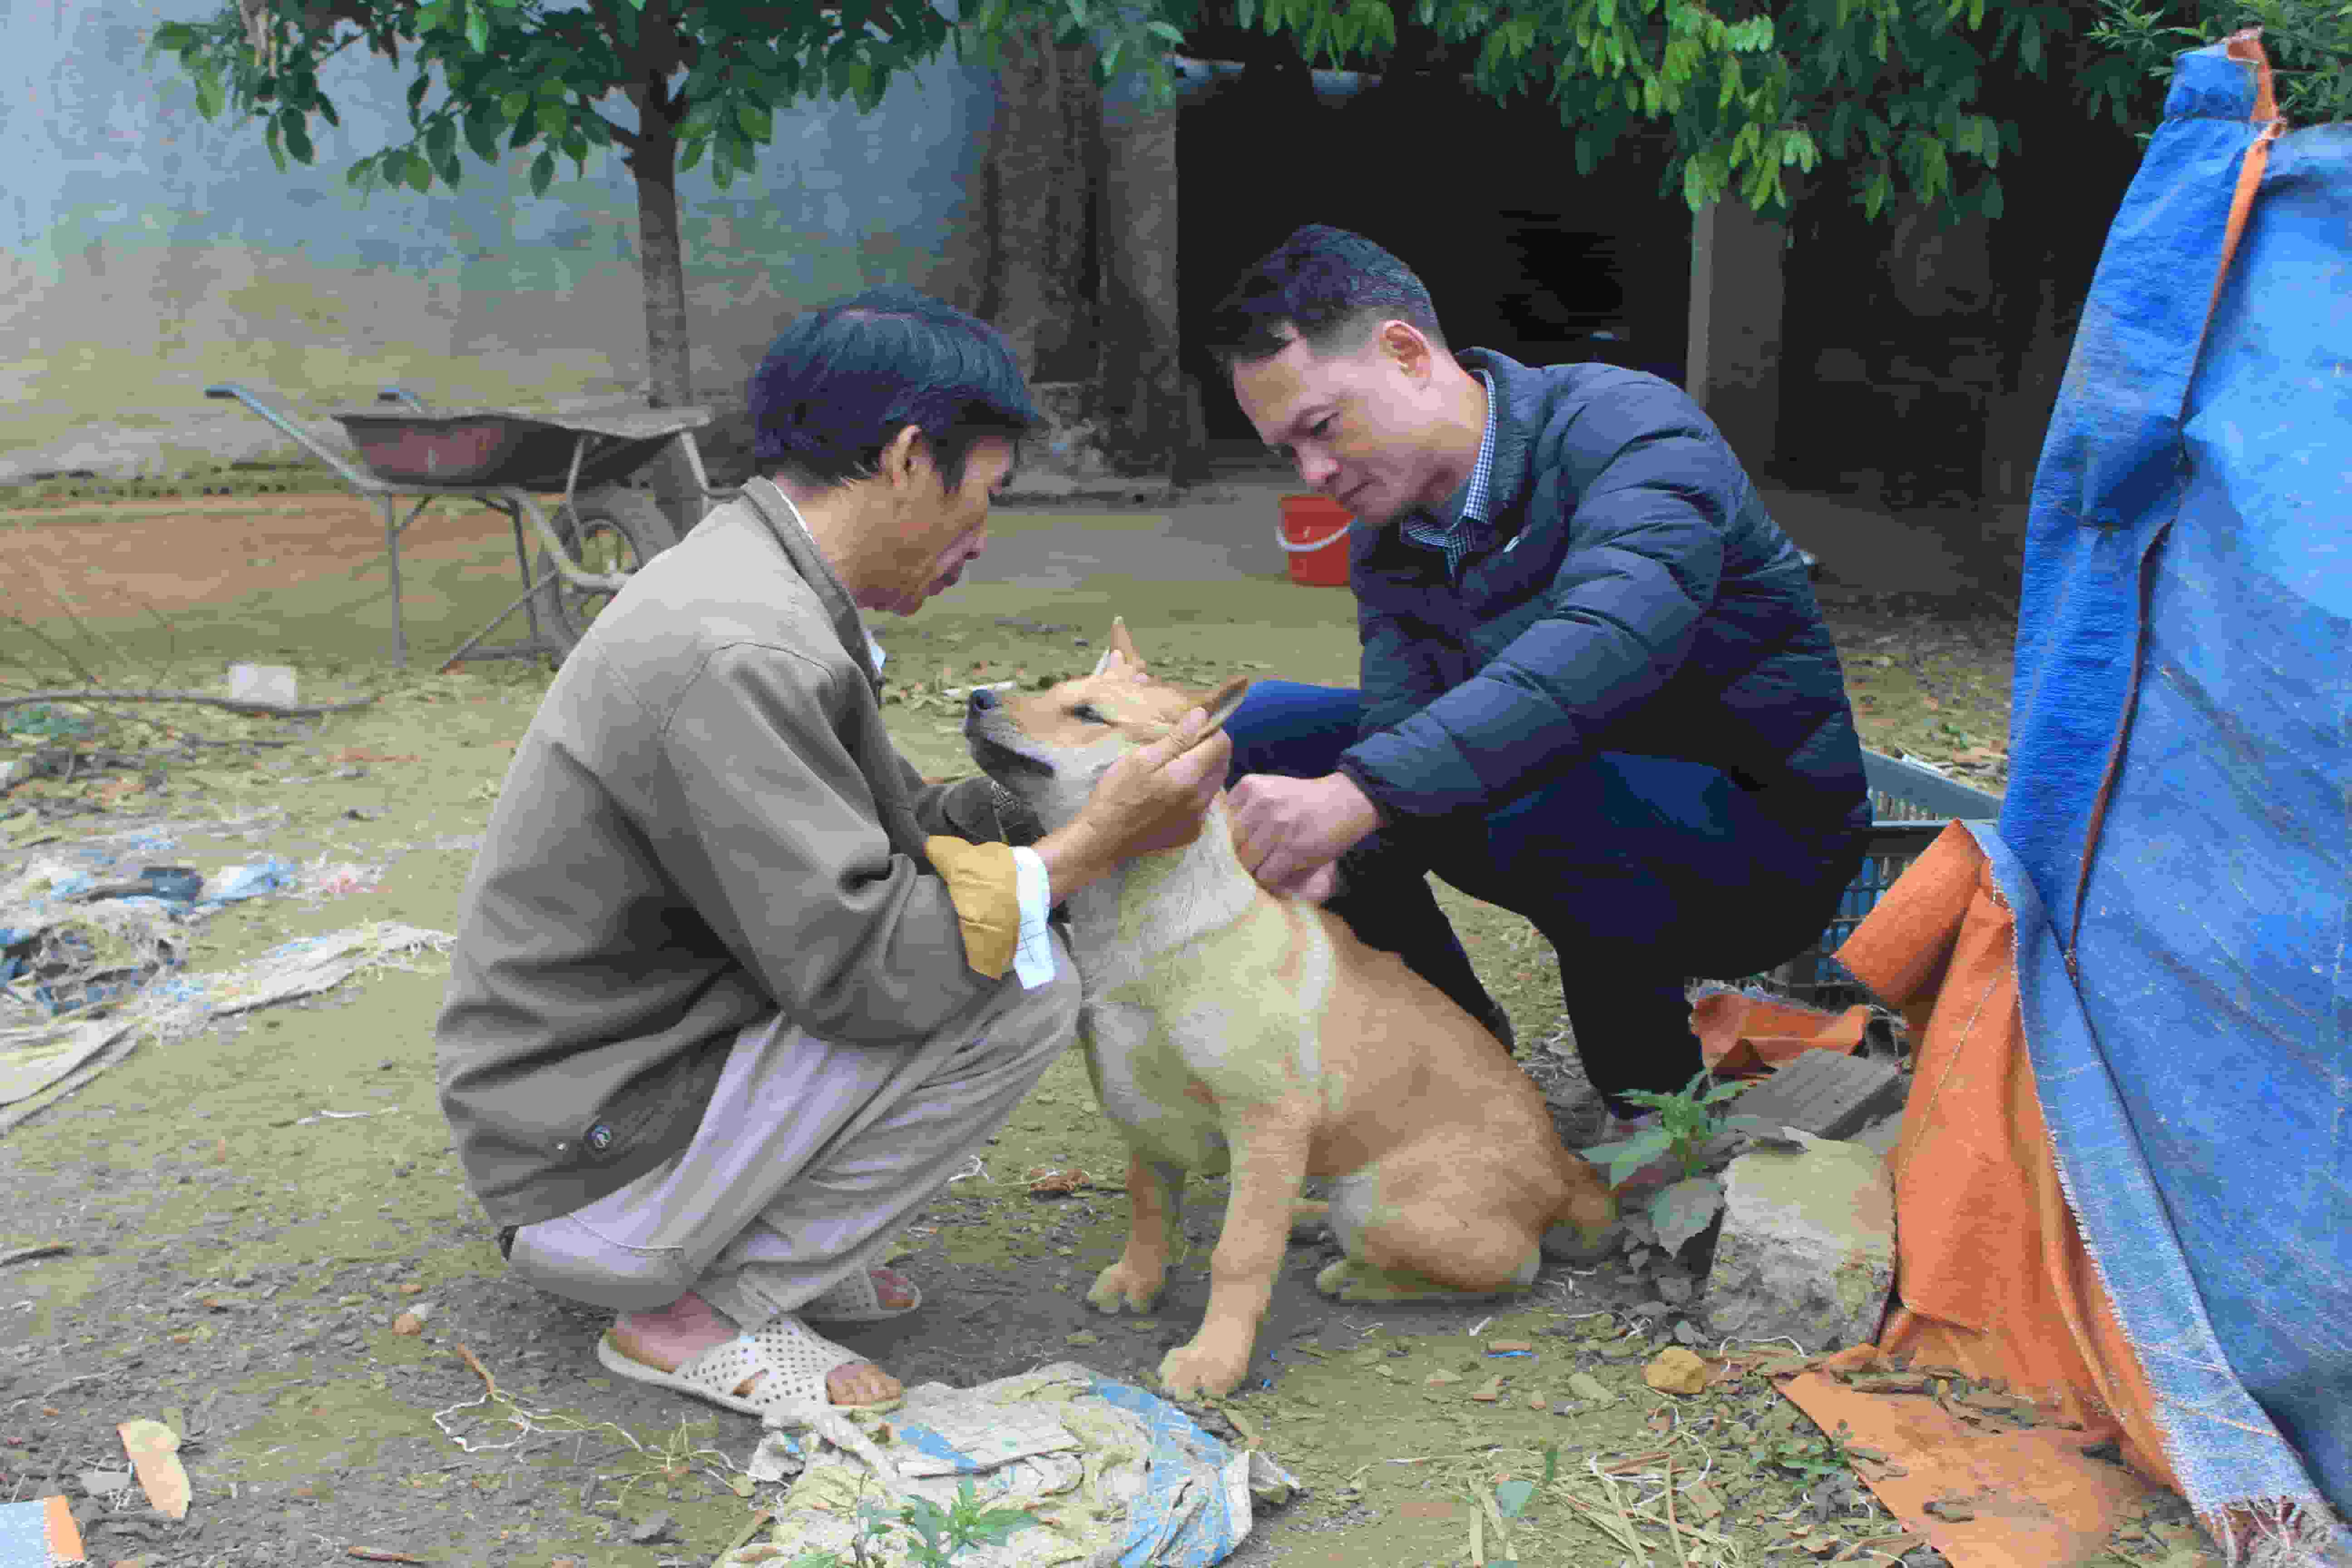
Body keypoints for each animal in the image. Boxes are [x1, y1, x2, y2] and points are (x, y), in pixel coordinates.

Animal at [960, 620, 1618, 1401]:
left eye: (1087, 714)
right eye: (1052, 690)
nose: (975, 697)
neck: (1140, 921)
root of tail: (1567, 1172)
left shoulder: (1268, 1120)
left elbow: (1239, 1254)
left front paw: (1214, 1360)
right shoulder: (1138, 1109)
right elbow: (1150, 1210)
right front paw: (1139, 1281)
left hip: (1381, 1203)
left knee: (1514, 1267)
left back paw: (1359, 1277)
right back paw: (1309, 1218)